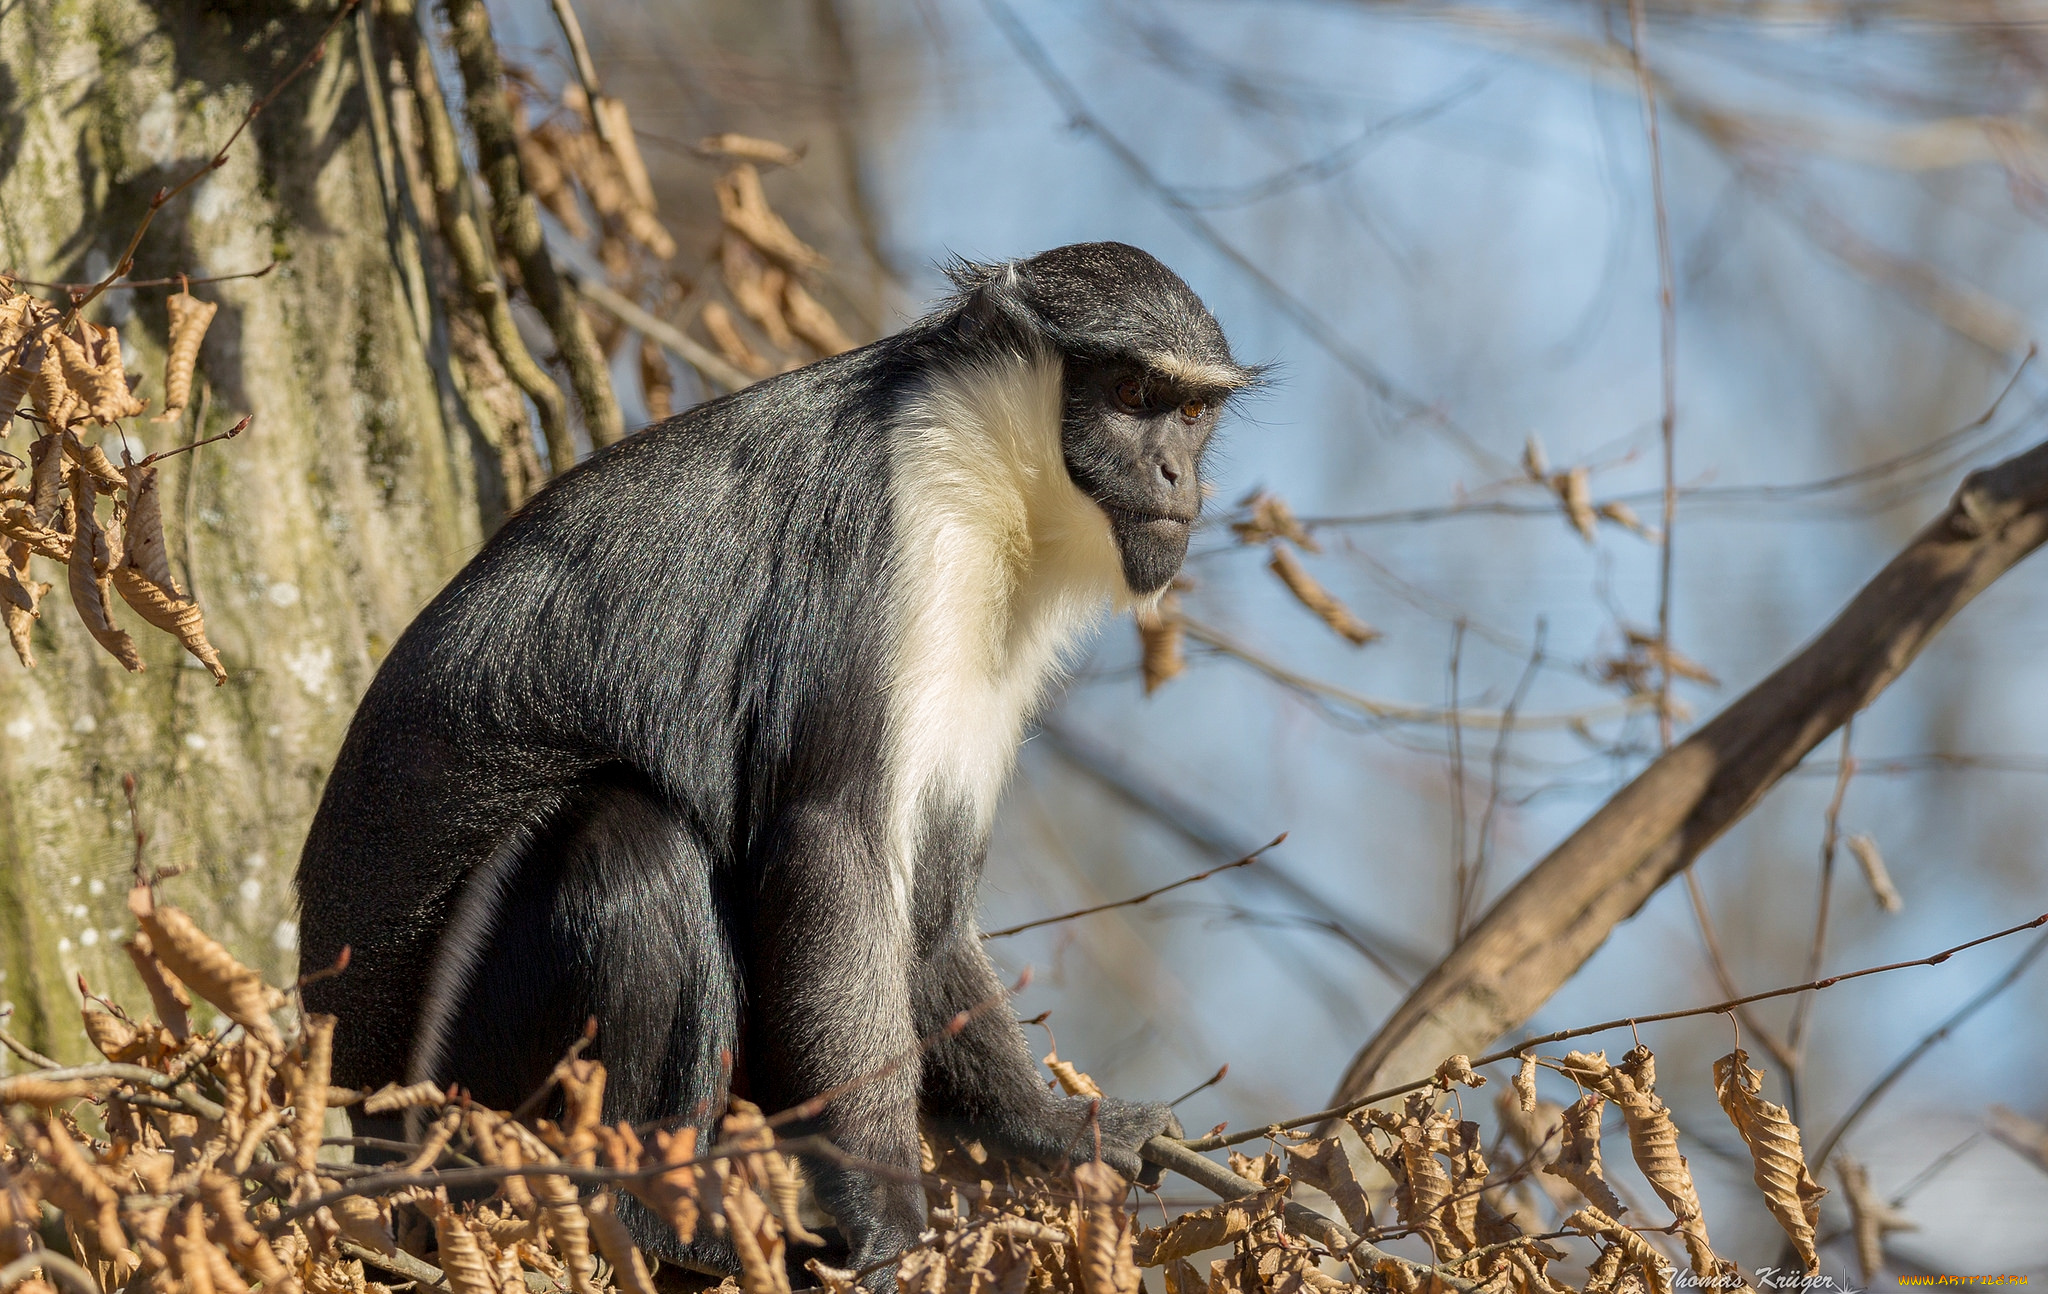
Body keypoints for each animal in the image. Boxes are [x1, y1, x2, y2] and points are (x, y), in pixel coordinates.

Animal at [296, 240, 1253, 1277]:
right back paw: (649, 1227)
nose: (1174, 473)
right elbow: (833, 850)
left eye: (1191, 412)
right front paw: (888, 1230)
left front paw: (1055, 1130)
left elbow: (928, 916)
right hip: (473, 1099)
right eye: (1130, 391)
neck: (988, 466)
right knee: (630, 842)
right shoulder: (881, 544)